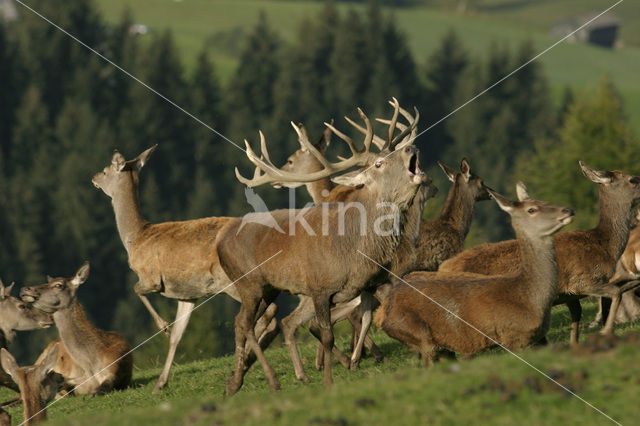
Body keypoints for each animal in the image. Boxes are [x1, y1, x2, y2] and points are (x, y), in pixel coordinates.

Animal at [20, 262, 132, 396]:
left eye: (58, 285)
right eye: (48, 281)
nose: (24, 288)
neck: (92, 368)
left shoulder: (114, 370)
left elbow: (101, 389)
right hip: (41, 358)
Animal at [376, 183, 576, 362]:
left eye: (545, 200)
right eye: (532, 210)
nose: (568, 210)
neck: (530, 299)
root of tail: (384, 312)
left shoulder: (538, 339)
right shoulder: (515, 337)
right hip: (416, 333)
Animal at [438, 161, 640, 344]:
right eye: (632, 179)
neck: (604, 245)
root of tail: (442, 268)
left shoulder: (570, 296)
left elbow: (576, 322)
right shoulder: (582, 280)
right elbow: (615, 293)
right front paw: (606, 332)